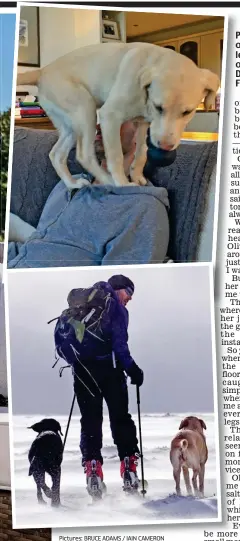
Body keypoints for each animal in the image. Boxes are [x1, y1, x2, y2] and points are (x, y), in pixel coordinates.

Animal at [16, 42, 219, 190]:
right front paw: (123, 182)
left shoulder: (144, 123)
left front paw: (137, 175)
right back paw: (110, 182)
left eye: (187, 112)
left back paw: (73, 184)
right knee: (84, 154)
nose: (166, 146)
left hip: (70, 125)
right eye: (159, 107)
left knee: (56, 154)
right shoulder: (110, 116)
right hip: (85, 108)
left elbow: (141, 151)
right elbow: (116, 156)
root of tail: (42, 70)